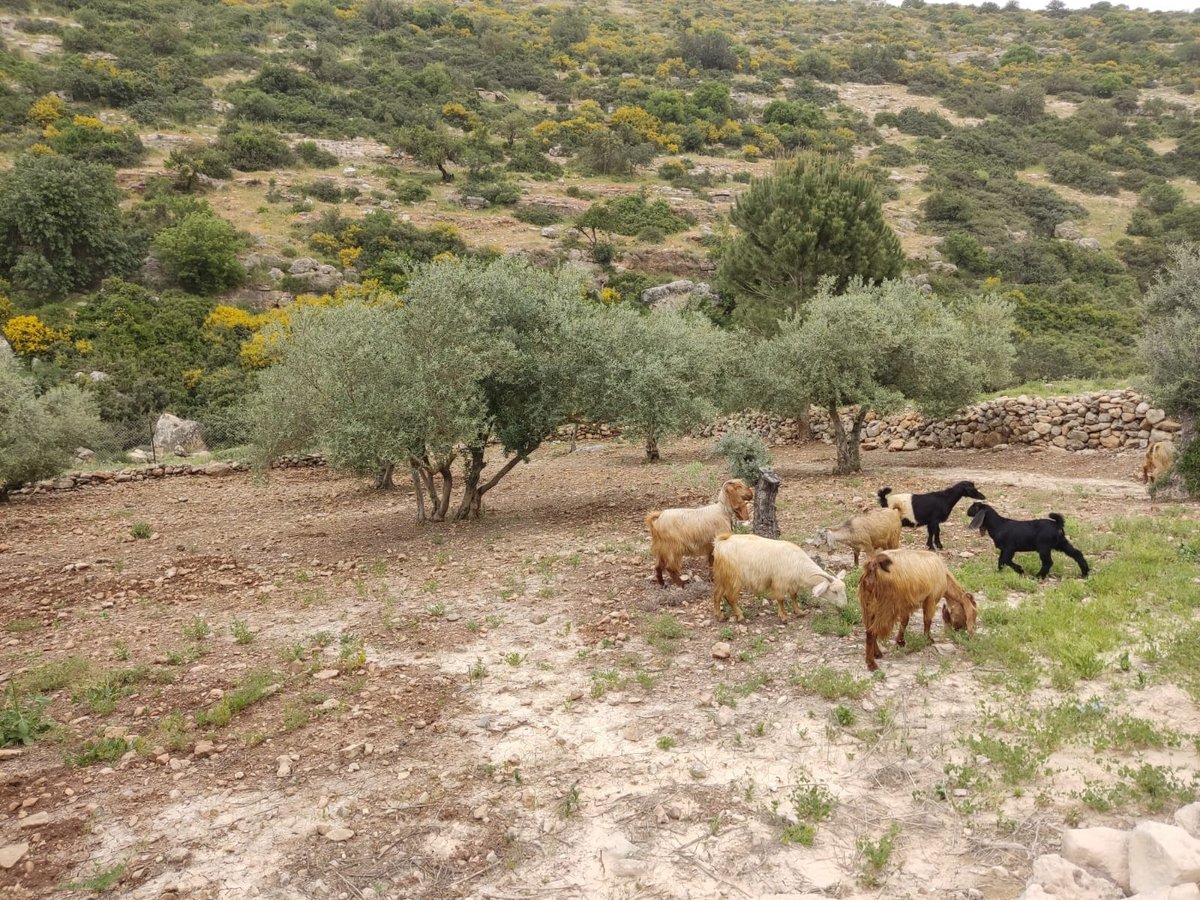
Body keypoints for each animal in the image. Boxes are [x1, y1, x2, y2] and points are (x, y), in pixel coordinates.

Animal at [705, 532, 849, 624]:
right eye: (834, 591)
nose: (844, 607)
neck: (798, 563)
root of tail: (721, 543)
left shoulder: (792, 583)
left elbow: (794, 596)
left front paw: (799, 611)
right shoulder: (780, 582)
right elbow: (781, 599)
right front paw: (784, 617)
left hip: (721, 576)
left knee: (716, 594)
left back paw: (720, 616)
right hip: (734, 578)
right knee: (729, 596)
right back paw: (740, 616)